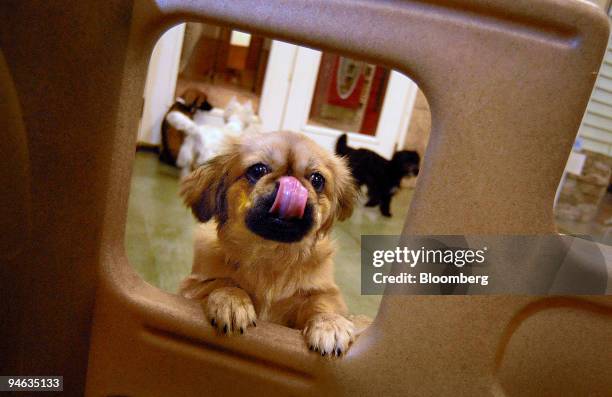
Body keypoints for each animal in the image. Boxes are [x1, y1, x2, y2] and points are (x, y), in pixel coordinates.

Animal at [177, 130, 368, 356]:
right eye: (258, 170)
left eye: (317, 180)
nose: (291, 182)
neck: (271, 253)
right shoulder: (191, 286)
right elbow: (224, 282)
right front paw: (232, 301)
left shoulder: (326, 292)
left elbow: (322, 303)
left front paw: (330, 323)